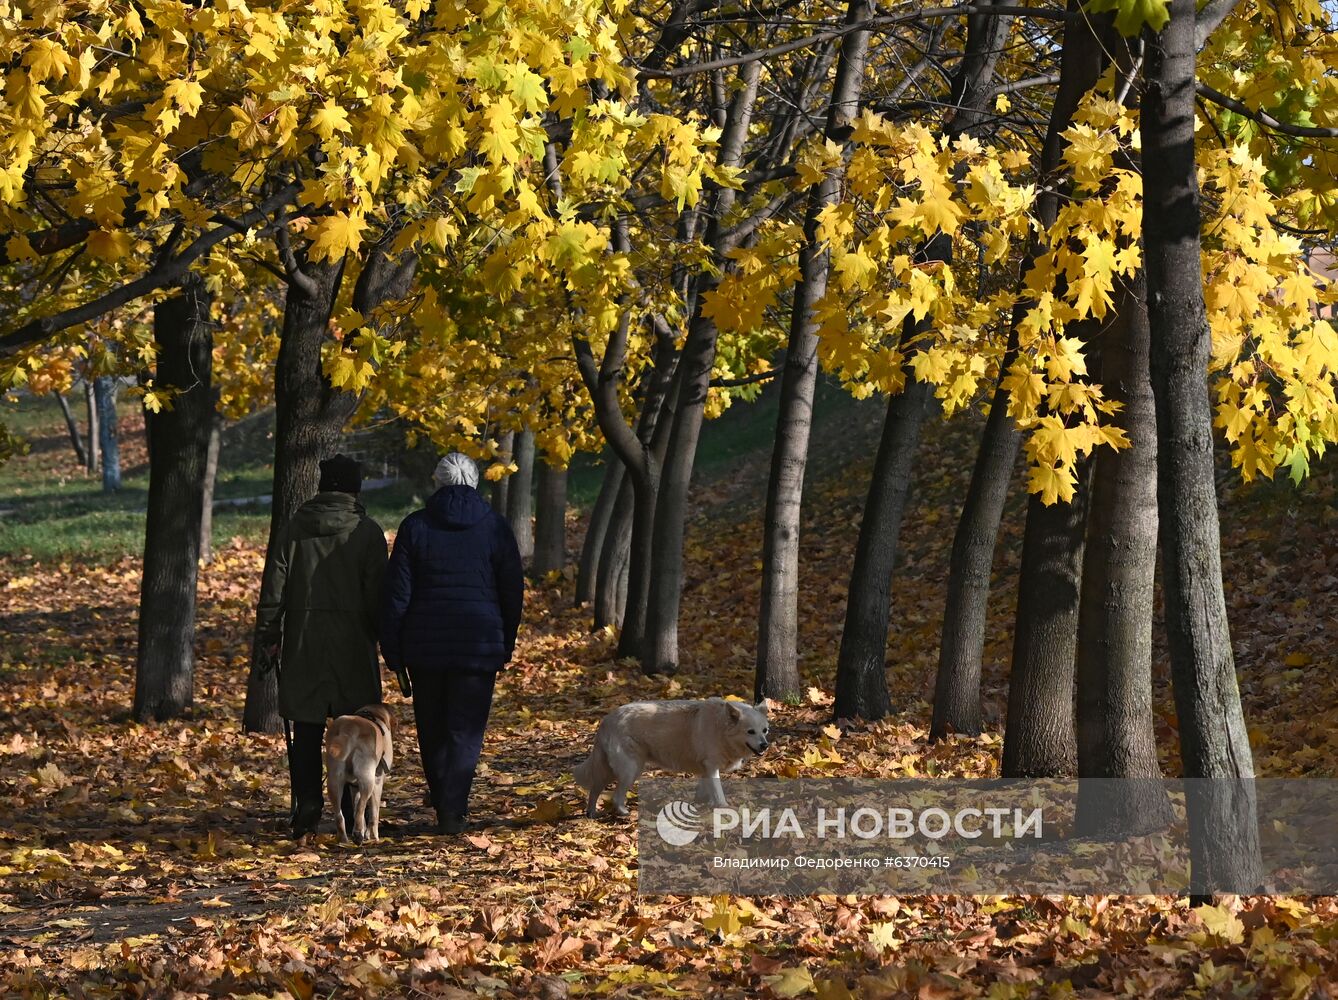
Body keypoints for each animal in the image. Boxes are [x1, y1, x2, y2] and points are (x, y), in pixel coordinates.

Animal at [323, 701, 390, 846]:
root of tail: (349, 728)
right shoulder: (378, 781)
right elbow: (374, 813)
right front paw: (374, 836)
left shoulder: (354, 787)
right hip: (367, 779)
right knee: (360, 809)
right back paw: (358, 834)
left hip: (334, 781)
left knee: (340, 815)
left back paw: (343, 839)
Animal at [569, 701, 770, 819]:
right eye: (750, 731)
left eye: (765, 730)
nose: (765, 745)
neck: (721, 728)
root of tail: (606, 720)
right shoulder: (711, 766)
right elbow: (717, 791)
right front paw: (723, 807)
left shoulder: (705, 768)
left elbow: (704, 790)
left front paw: (699, 804)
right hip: (631, 770)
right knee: (616, 797)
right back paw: (624, 813)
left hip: (610, 770)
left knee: (595, 789)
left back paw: (591, 813)